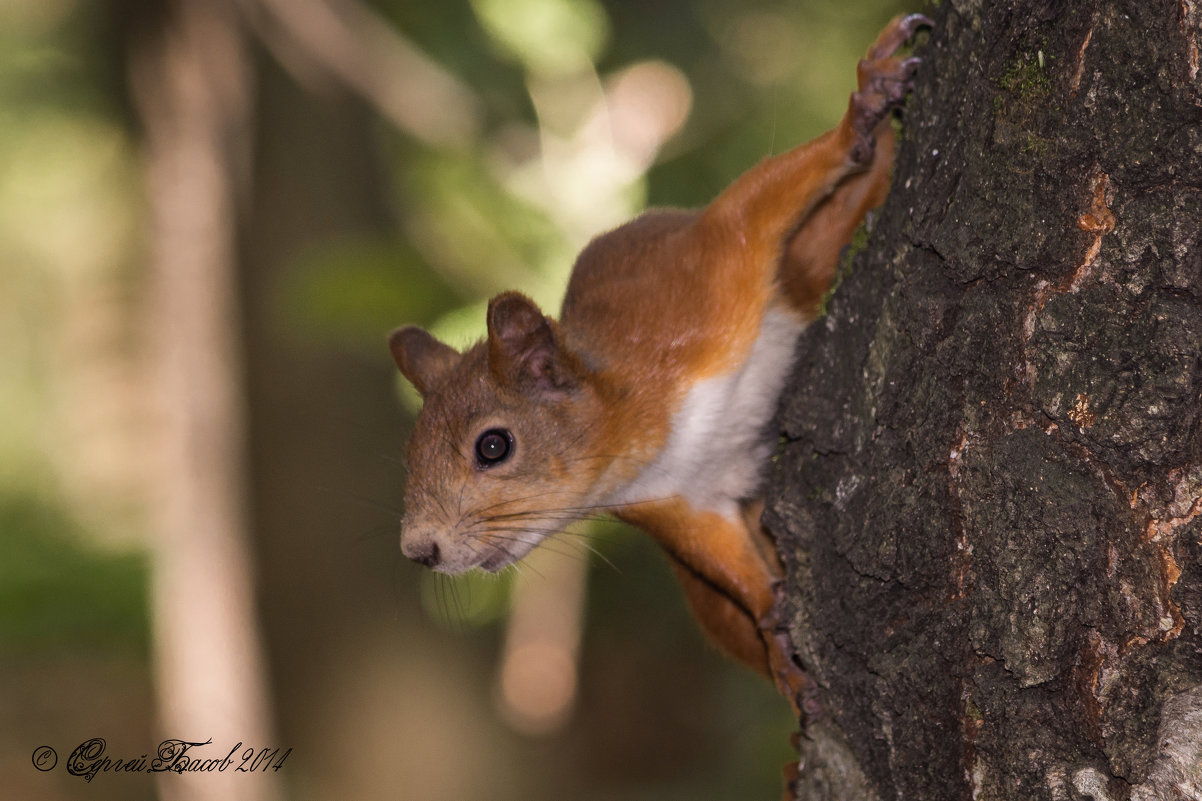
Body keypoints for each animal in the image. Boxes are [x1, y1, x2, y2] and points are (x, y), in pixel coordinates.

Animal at [389, 14, 923, 736]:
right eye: (411, 453)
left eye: (493, 445)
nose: (420, 549)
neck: (641, 419)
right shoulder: (679, 501)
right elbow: (729, 567)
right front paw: (778, 638)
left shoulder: (704, 271)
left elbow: (759, 201)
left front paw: (861, 112)